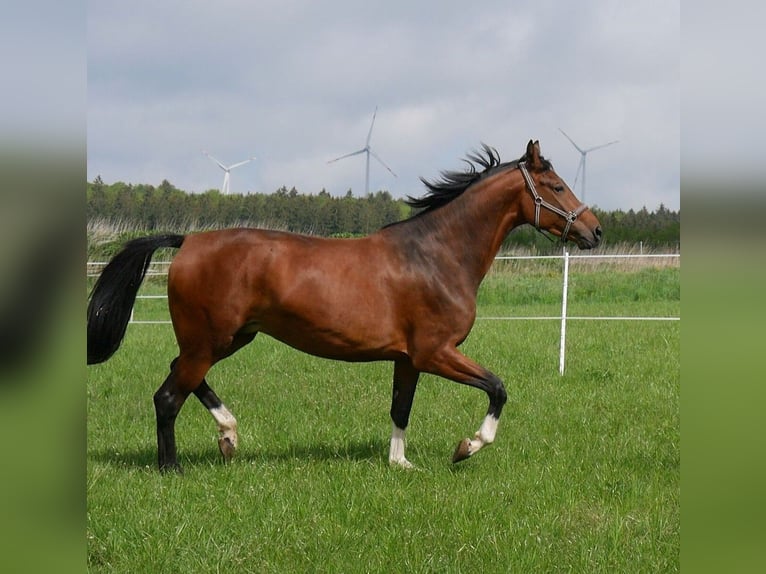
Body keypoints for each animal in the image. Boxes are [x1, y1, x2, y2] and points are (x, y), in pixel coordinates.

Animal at [87, 140, 602, 472]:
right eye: (556, 186)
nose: (594, 230)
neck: (435, 255)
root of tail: (187, 240)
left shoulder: (408, 359)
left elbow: (400, 408)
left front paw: (400, 463)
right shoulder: (436, 353)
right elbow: (497, 388)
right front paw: (466, 447)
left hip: (229, 338)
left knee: (181, 379)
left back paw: (228, 437)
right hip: (209, 340)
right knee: (168, 396)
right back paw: (172, 468)